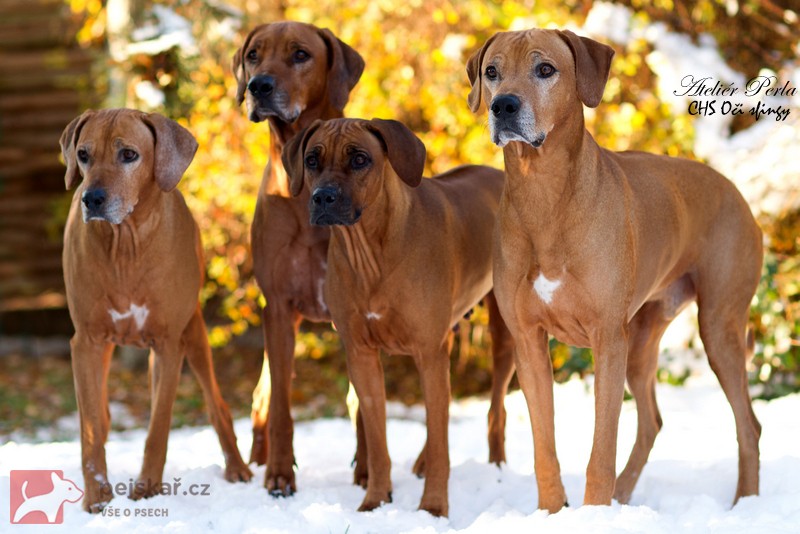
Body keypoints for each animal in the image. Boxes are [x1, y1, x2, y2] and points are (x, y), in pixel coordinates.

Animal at [59, 109, 252, 516]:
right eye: (83, 155)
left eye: (129, 155)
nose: (91, 199)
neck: (126, 243)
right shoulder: (86, 341)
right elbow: (90, 427)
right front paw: (97, 497)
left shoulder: (168, 343)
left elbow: (159, 425)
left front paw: (147, 489)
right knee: (101, 414)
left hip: (194, 333)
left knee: (217, 404)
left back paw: (238, 469)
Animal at [231, 22, 366, 498]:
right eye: (253, 55)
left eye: (301, 54)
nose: (258, 86)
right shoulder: (278, 306)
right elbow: (281, 408)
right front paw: (278, 475)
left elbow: (366, 403)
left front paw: (369, 473)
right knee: (266, 395)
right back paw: (258, 456)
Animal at [282, 118, 506, 520]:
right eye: (311, 160)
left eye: (359, 159)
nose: (323, 197)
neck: (371, 252)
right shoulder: (361, 354)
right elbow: (377, 438)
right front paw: (375, 500)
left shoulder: (428, 353)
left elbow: (440, 442)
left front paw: (433, 507)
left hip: (506, 335)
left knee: (495, 409)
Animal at [468, 30, 764, 516]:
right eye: (491, 71)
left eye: (545, 69)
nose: (502, 105)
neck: (544, 193)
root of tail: (737, 192)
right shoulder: (528, 341)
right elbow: (544, 447)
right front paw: (553, 512)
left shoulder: (607, 338)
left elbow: (601, 450)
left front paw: (593, 512)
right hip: (642, 338)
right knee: (653, 420)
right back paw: (625, 496)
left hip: (719, 326)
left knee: (748, 425)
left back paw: (745, 503)